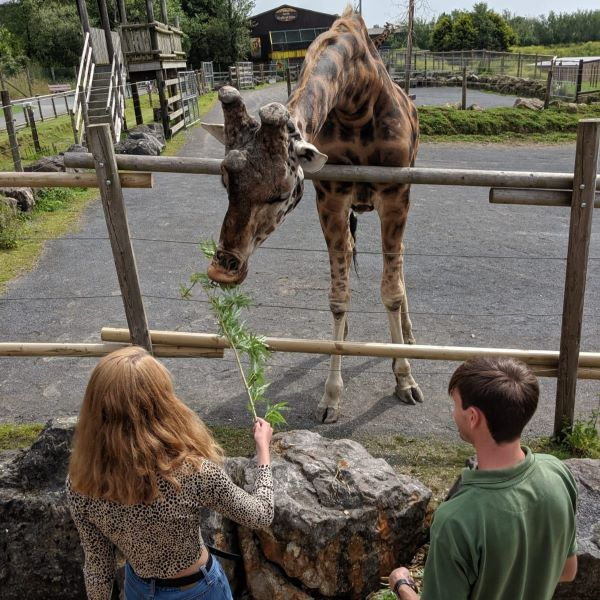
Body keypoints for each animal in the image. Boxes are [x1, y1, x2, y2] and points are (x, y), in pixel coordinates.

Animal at [202, 7, 422, 424]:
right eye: (224, 181)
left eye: (281, 193)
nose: (224, 269)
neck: (356, 99)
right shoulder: (331, 196)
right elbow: (337, 296)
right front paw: (331, 396)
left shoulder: (395, 194)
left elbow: (391, 291)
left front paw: (404, 378)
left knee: (400, 270)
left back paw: (410, 337)